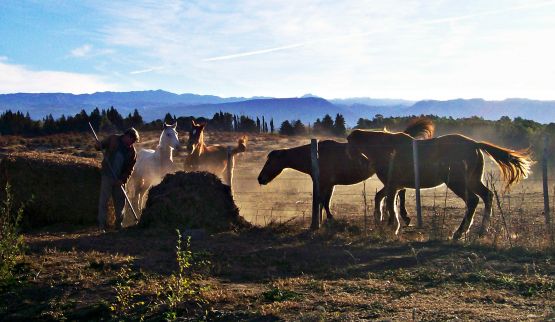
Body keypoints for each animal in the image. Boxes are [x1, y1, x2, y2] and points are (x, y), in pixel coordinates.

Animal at [258, 119, 436, 224]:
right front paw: (325, 219)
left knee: (401, 191)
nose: (260, 179)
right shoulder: (329, 184)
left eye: (270, 161)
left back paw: (404, 216)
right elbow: (324, 201)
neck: (316, 155)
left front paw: (329, 219)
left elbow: (323, 201)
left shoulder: (325, 183)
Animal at [348, 129, 536, 239]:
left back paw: (459, 233)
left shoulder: (393, 184)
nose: (358, 164)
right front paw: (380, 219)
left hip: (457, 182)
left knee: (473, 200)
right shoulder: (394, 185)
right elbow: (381, 198)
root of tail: (475, 144)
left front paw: (392, 226)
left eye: (350, 146)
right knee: (487, 196)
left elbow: (389, 203)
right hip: (472, 181)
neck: (386, 149)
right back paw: (482, 231)